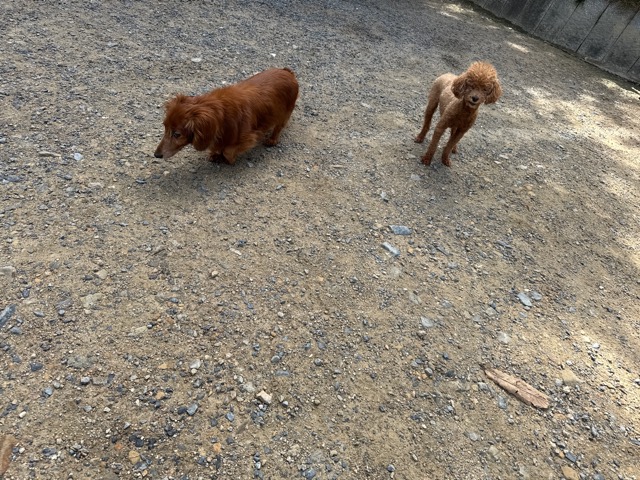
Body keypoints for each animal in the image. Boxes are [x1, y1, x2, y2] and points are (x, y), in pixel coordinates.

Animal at [154, 68, 299, 164]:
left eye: (177, 134)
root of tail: (287, 72)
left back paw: (272, 140)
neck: (220, 113)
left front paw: (228, 159)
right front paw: (215, 153)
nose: (156, 155)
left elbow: (228, 151)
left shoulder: (249, 137)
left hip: (284, 114)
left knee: (278, 127)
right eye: (165, 127)